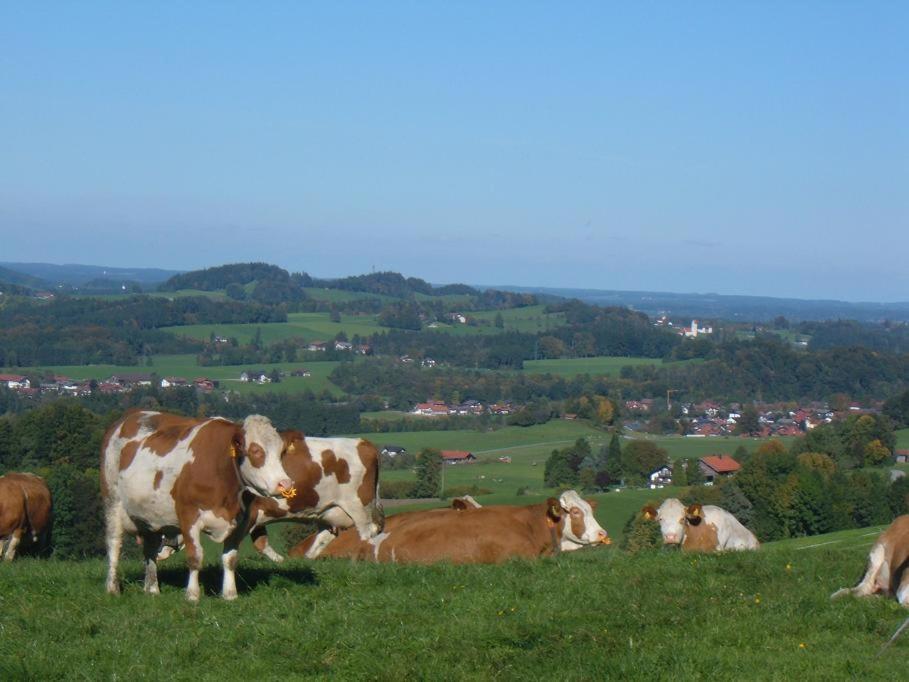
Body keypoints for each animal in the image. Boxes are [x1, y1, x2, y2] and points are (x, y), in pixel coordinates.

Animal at [102, 406, 294, 596]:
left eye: (282, 452)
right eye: (255, 451)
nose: (285, 484)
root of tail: (132, 415)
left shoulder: (241, 521)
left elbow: (230, 559)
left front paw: (230, 594)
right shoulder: (188, 515)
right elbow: (195, 556)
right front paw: (192, 594)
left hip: (149, 517)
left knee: (150, 548)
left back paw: (152, 589)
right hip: (112, 501)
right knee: (114, 543)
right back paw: (112, 588)